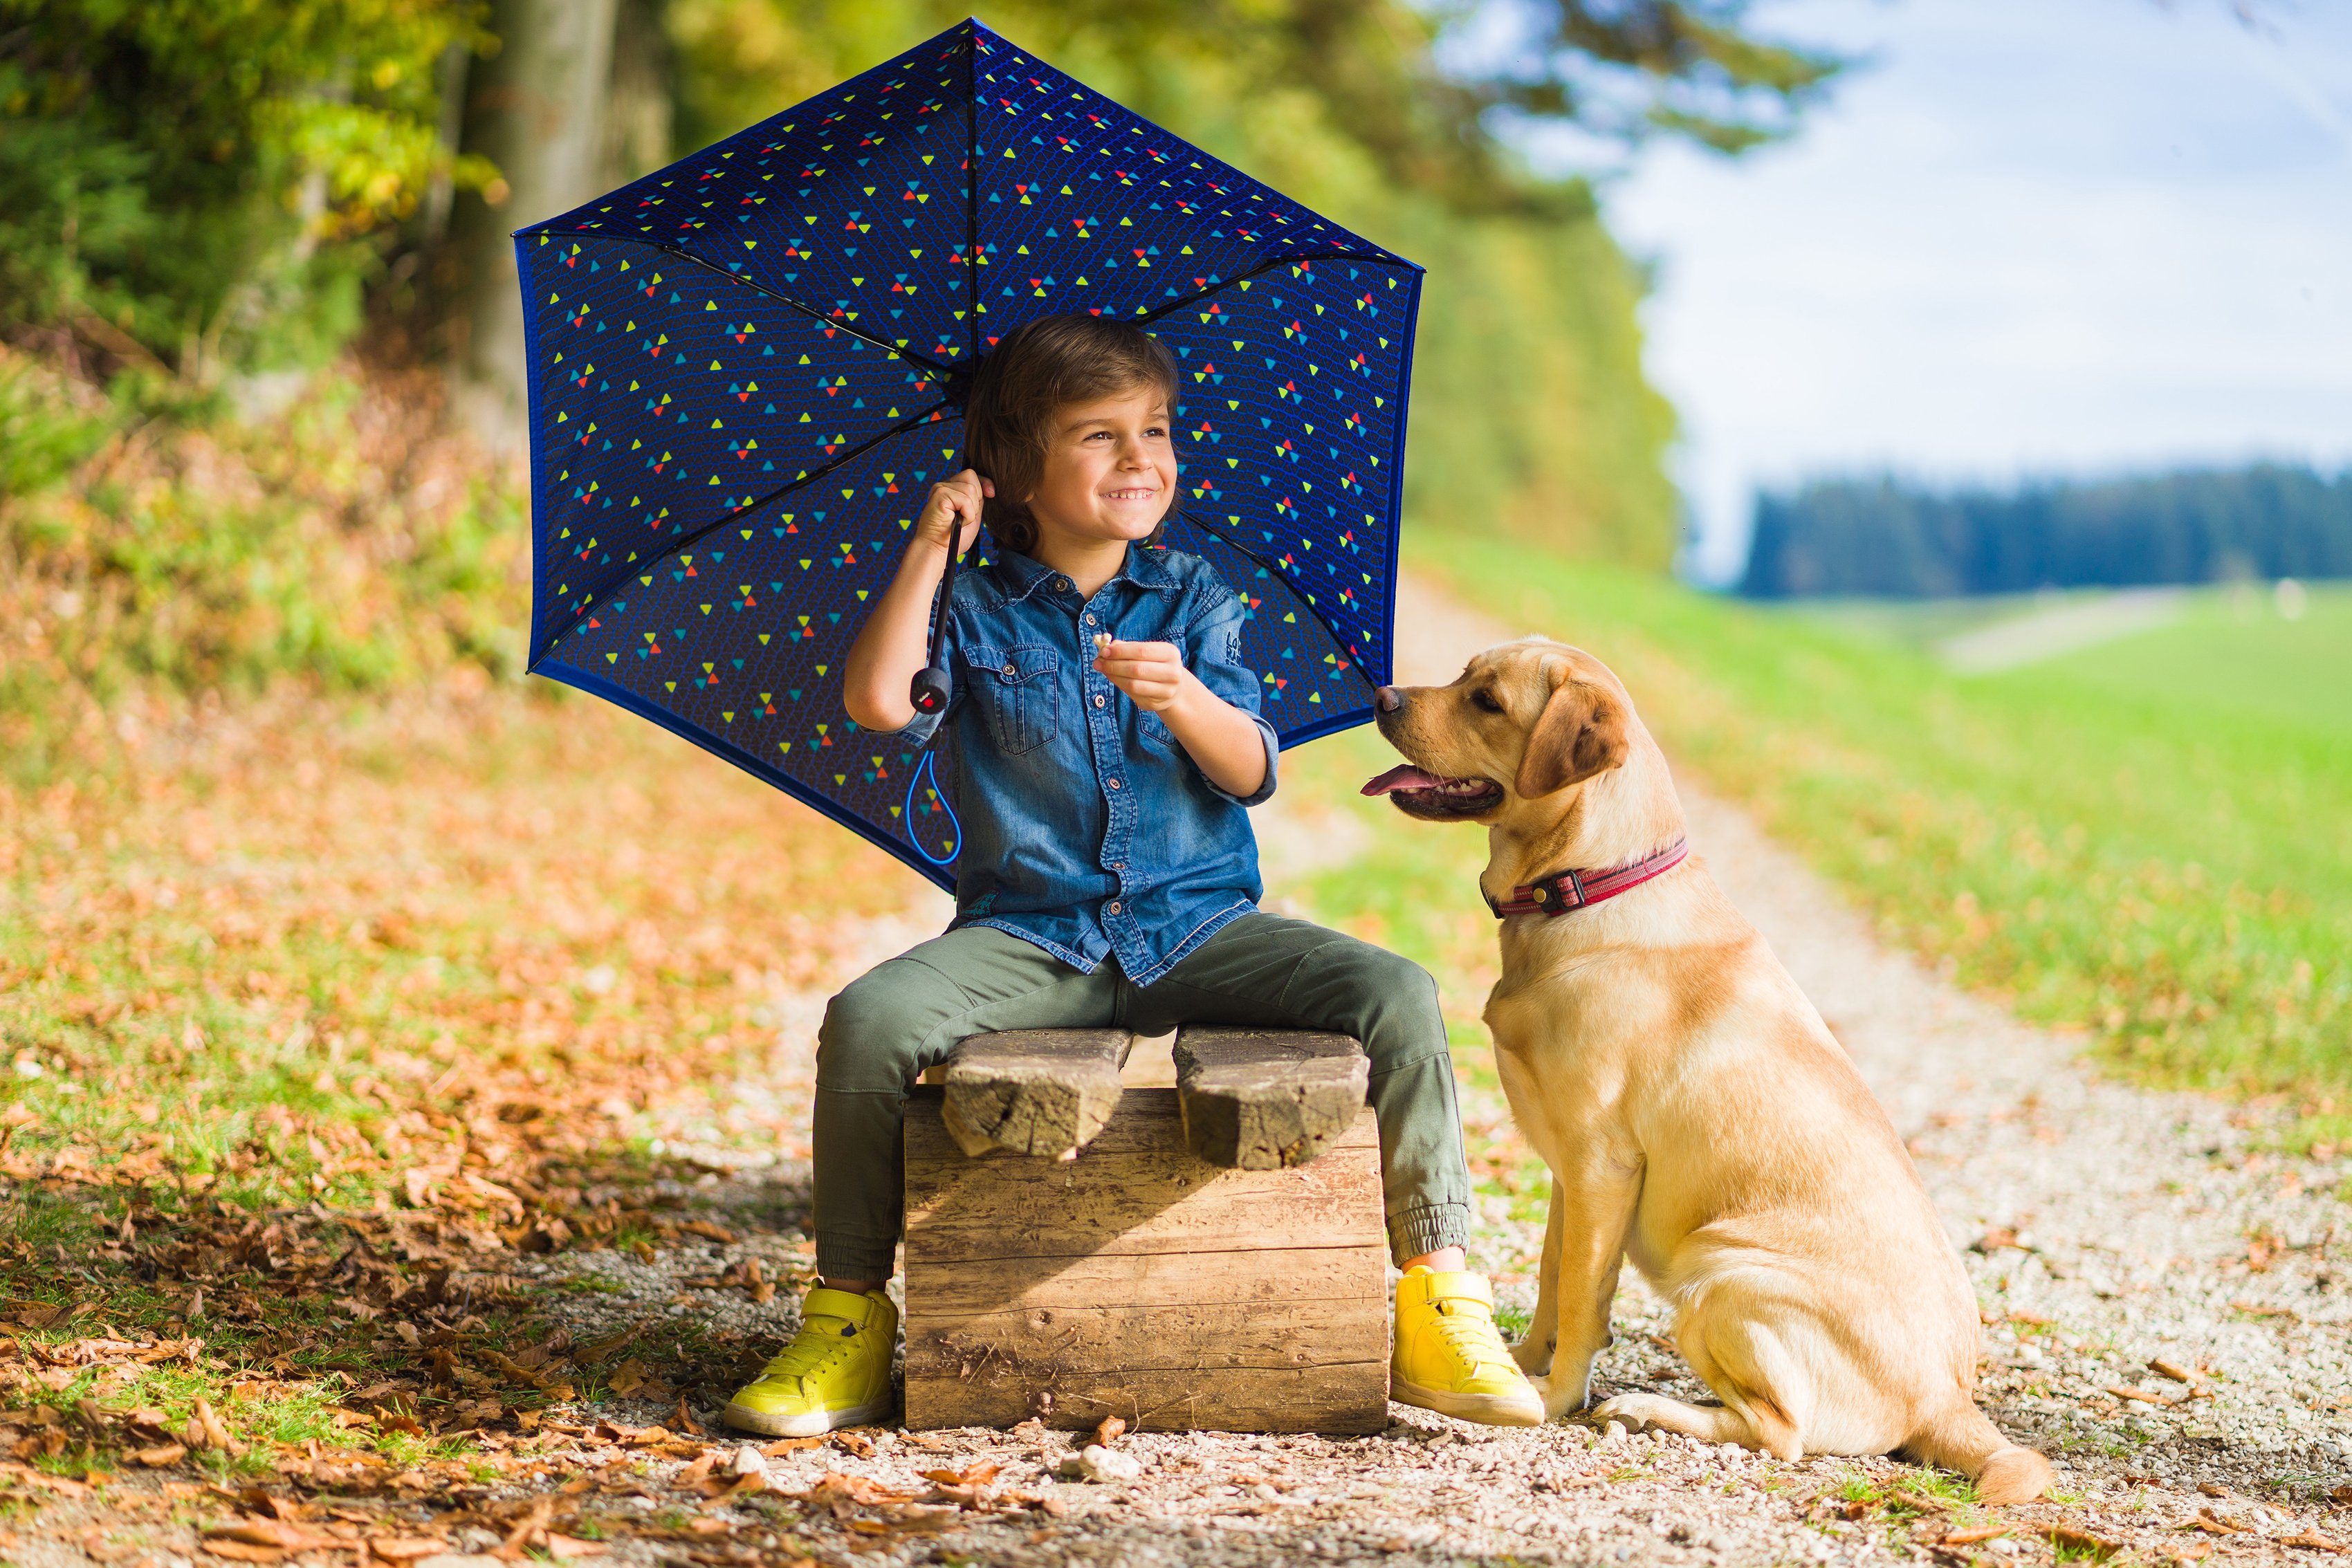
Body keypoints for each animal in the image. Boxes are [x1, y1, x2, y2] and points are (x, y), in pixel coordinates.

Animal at [1373, 639, 2050, 1504]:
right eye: (1464, 674)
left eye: (1486, 700)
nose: (1383, 696)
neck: (1589, 886)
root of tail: (1947, 1397)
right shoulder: (1571, 1175)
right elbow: (1555, 1281)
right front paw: (1517, 1364)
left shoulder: (1599, 1163)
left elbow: (1582, 1300)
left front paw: (1554, 1397)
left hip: (1717, 1274)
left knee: (1779, 1431)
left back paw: (1649, 1408)